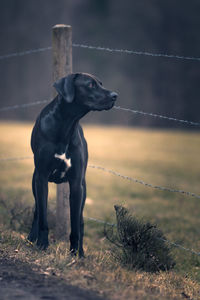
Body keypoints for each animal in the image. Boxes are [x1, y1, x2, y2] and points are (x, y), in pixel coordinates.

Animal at [28, 72, 117, 255]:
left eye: (101, 83)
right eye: (90, 84)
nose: (115, 96)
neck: (66, 125)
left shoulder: (76, 184)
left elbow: (75, 224)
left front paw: (76, 253)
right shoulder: (41, 178)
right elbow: (43, 217)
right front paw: (42, 244)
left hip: (83, 188)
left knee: (81, 220)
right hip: (34, 181)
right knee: (37, 211)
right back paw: (32, 238)